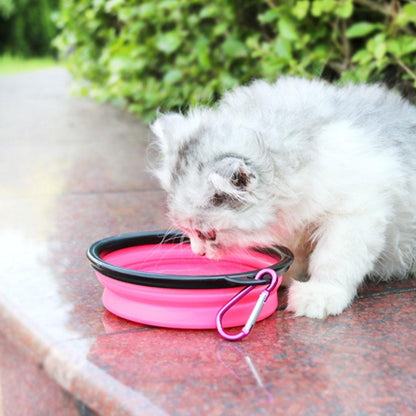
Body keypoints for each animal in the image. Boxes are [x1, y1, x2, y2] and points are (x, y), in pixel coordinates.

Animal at [151, 76, 416, 318]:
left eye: (208, 234)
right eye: (188, 231)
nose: (198, 253)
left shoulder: (355, 212)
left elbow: (333, 259)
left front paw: (319, 294)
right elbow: (294, 253)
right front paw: (285, 277)